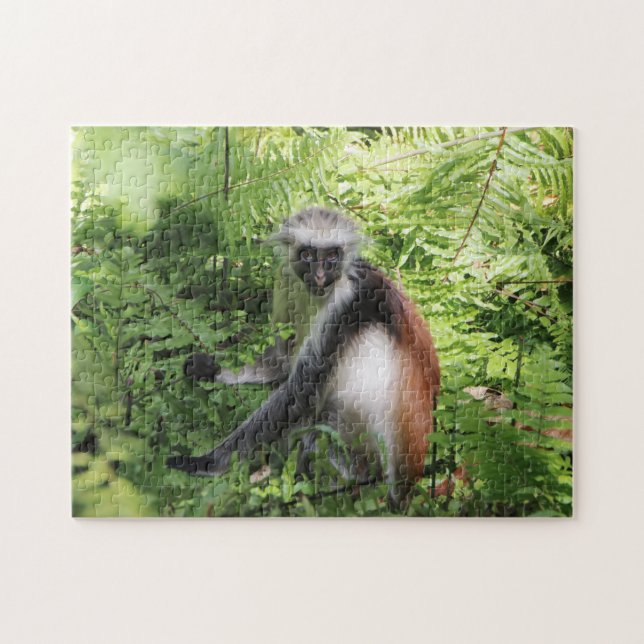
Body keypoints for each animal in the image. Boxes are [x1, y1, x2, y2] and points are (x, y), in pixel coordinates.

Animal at [167, 207, 440, 506]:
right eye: (308, 255)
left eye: (332, 255)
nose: (320, 276)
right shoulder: (287, 277)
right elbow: (282, 360)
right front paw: (213, 369)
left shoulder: (344, 306)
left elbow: (300, 395)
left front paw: (206, 463)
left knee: (319, 436)